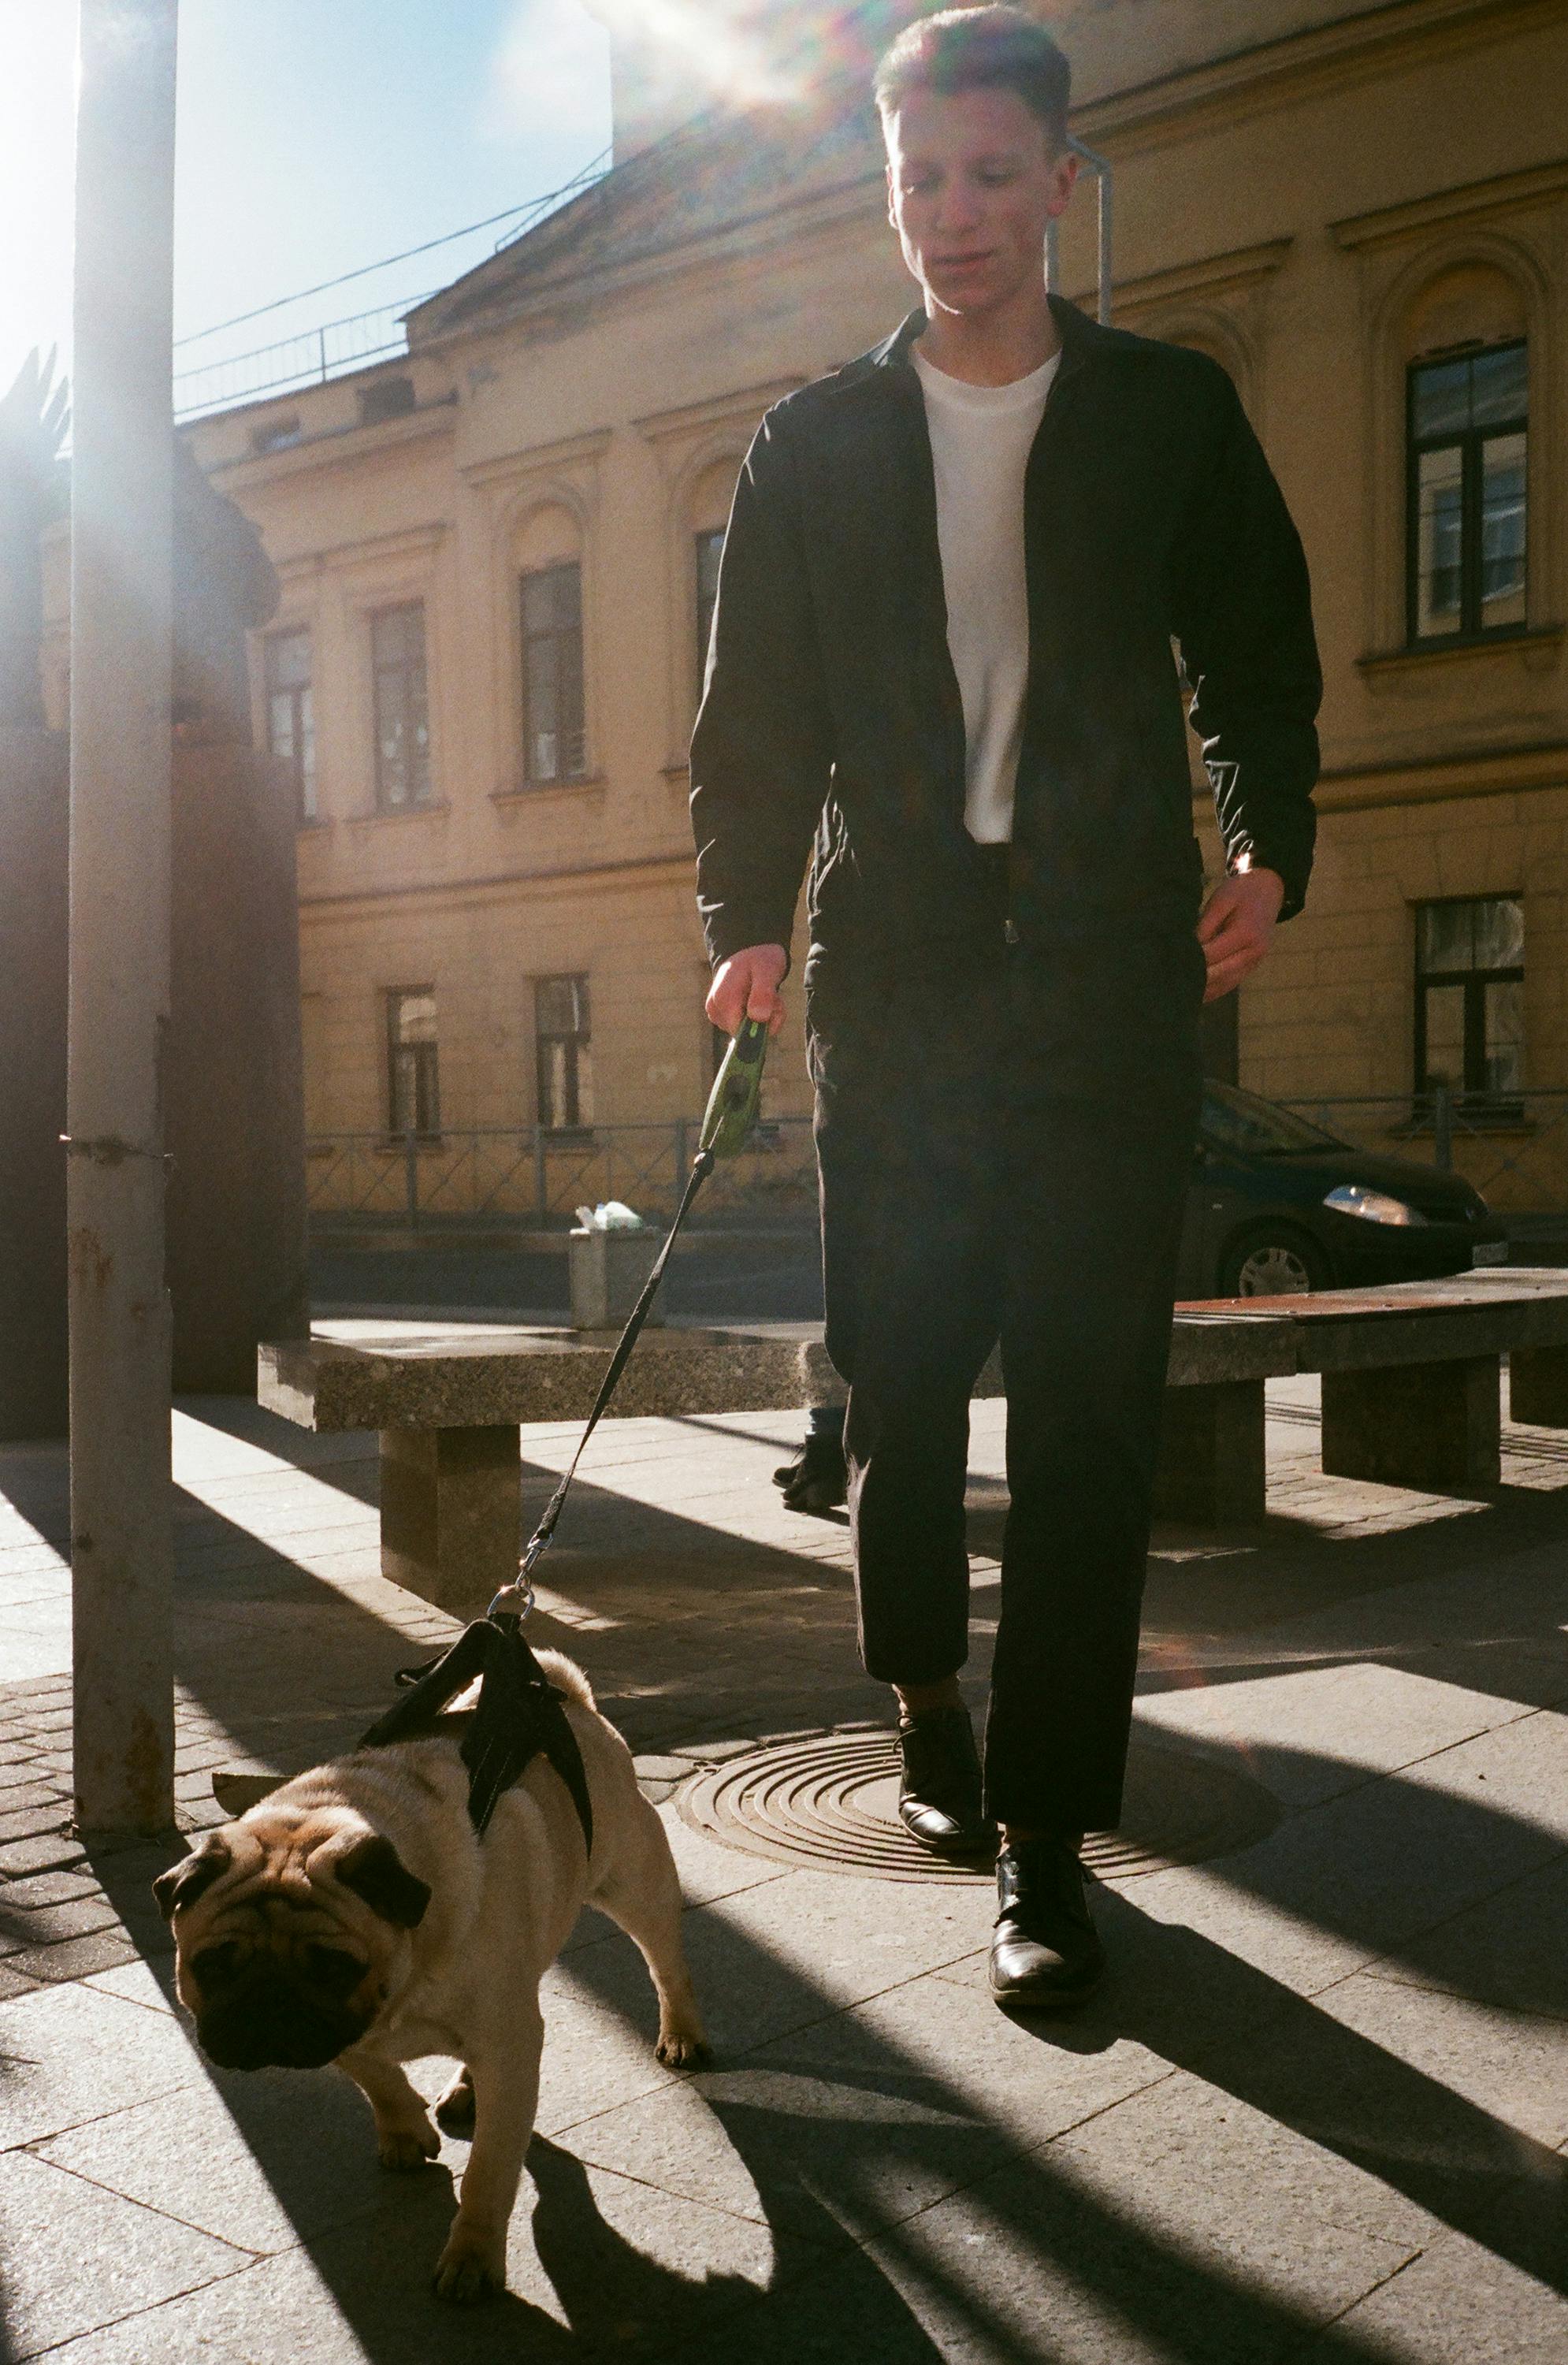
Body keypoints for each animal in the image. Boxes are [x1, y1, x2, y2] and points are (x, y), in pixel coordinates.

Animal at [154, 1655, 704, 2298]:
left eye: (334, 1966)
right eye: (211, 1964)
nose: (271, 2003)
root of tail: (568, 1700)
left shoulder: (502, 2046)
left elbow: (490, 2171)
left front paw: (473, 2257)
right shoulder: (349, 2032)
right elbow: (377, 2077)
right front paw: (404, 2132)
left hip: (634, 1884)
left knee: (666, 1965)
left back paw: (682, 2034)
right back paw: (465, 2089)